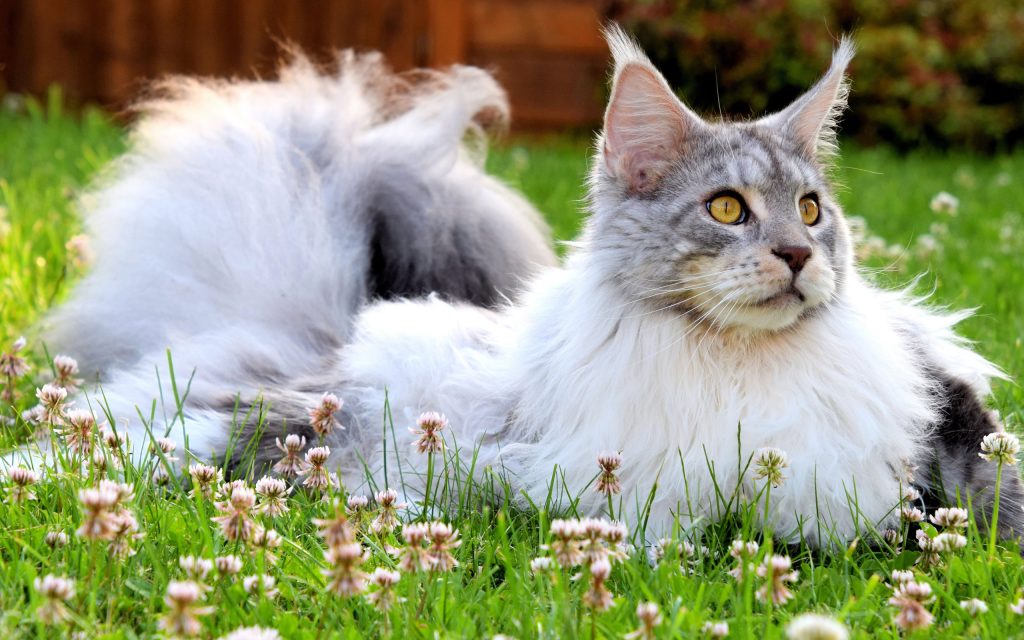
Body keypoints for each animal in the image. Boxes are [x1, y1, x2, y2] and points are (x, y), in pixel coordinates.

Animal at [9, 26, 1024, 544]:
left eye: (811, 210)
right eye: (729, 209)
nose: (799, 258)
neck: (737, 369)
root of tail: (319, 330)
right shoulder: (620, 492)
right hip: (274, 428)